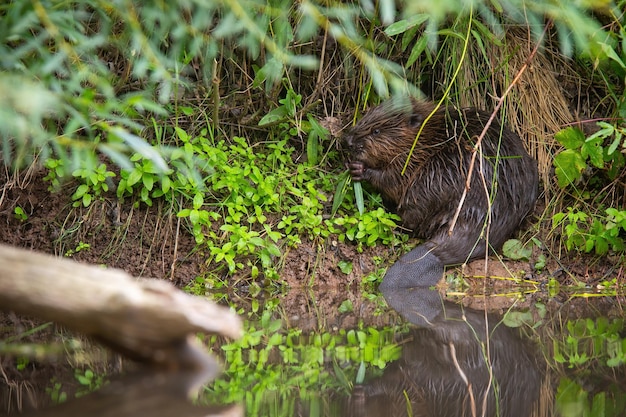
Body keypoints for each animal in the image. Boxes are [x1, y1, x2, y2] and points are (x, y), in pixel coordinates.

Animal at [342, 96, 536, 288]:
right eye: (365, 117)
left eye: (376, 131)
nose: (348, 141)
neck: (426, 137)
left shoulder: (410, 159)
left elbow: (393, 180)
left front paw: (359, 169)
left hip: (436, 175)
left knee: (412, 219)